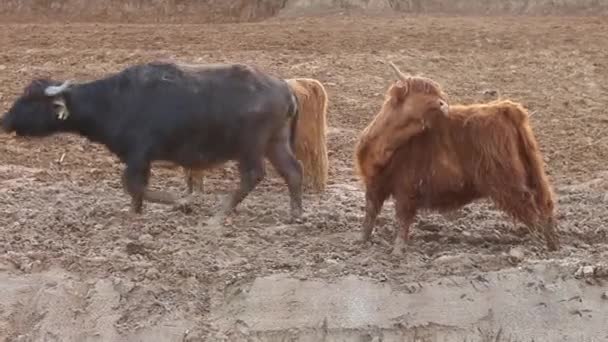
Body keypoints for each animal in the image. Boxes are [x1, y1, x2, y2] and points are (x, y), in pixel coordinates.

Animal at [0, 61, 304, 222]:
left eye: (31, 100)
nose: (4, 120)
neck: (113, 102)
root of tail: (284, 88)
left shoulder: (138, 155)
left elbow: (132, 185)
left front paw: (179, 202)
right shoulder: (140, 160)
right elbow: (136, 190)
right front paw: (135, 213)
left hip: (250, 146)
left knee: (254, 174)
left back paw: (222, 211)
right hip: (275, 142)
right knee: (293, 171)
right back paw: (296, 214)